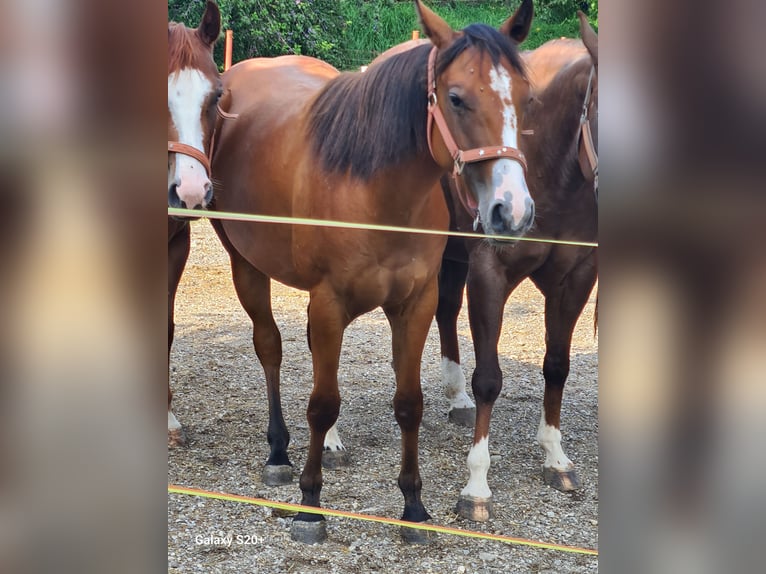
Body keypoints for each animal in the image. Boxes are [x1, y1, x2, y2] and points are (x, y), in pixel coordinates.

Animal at [210, 0, 536, 548]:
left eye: (526, 98)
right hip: (246, 265)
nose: (510, 211)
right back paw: (278, 452)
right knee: (270, 348)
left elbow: (409, 403)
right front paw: (310, 506)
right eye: (455, 98)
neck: (375, 190)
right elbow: (322, 403)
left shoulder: (416, 304)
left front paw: (413, 506)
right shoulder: (329, 301)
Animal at [438, 10, 600, 520]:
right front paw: (476, 486)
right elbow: (489, 378)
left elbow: (557, 366)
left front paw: (555, 456)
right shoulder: (489, 273)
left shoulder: (577, 277)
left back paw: (456, 400)